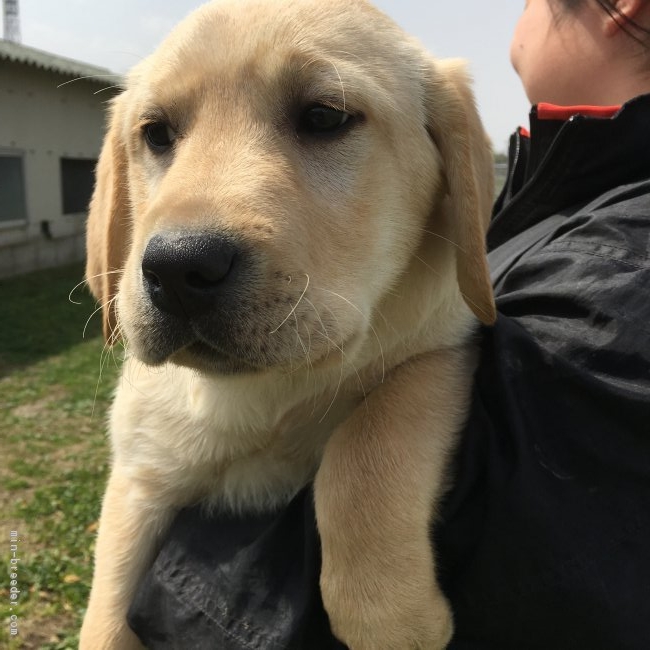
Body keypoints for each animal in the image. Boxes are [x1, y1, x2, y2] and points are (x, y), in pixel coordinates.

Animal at [83, 0, 494, 644]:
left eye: (324, 117)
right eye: (156, 133)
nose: (177, 267)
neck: (261, 390)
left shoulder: (443, 349)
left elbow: (368, 445)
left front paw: (391, 614)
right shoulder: (138, 475)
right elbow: (104, 613)